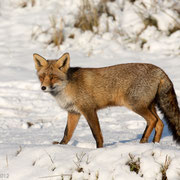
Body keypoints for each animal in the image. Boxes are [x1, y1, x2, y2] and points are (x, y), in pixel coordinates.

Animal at [32, 52, 180, 148]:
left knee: (153, 121)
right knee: (160, 123)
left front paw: (99, 149)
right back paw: (155, 143)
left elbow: (96, 133)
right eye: (42, 77)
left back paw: (143, 141)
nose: (43, 87)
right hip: (149, 106)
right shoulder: (74, 113)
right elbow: (67, 134)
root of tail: (160, 70)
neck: (67, 87)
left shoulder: (89, 110)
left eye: (53, 77)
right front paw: (61, 147)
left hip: (136, 105)